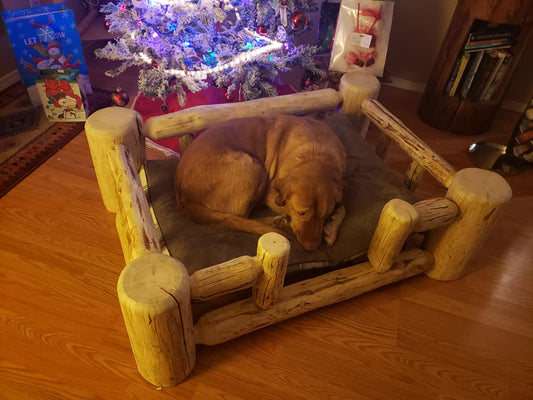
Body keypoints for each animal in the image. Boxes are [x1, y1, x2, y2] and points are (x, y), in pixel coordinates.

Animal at [175, 114, 348, 250]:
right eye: (302, 213)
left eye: (325, 215)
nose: (312, 247)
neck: (315, 153)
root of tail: (185, 198)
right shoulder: (270, 193)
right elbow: (285, 207)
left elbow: (343, 207)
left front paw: (331, 228)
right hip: (254, 166)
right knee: (241, 217)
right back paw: (275, 221)